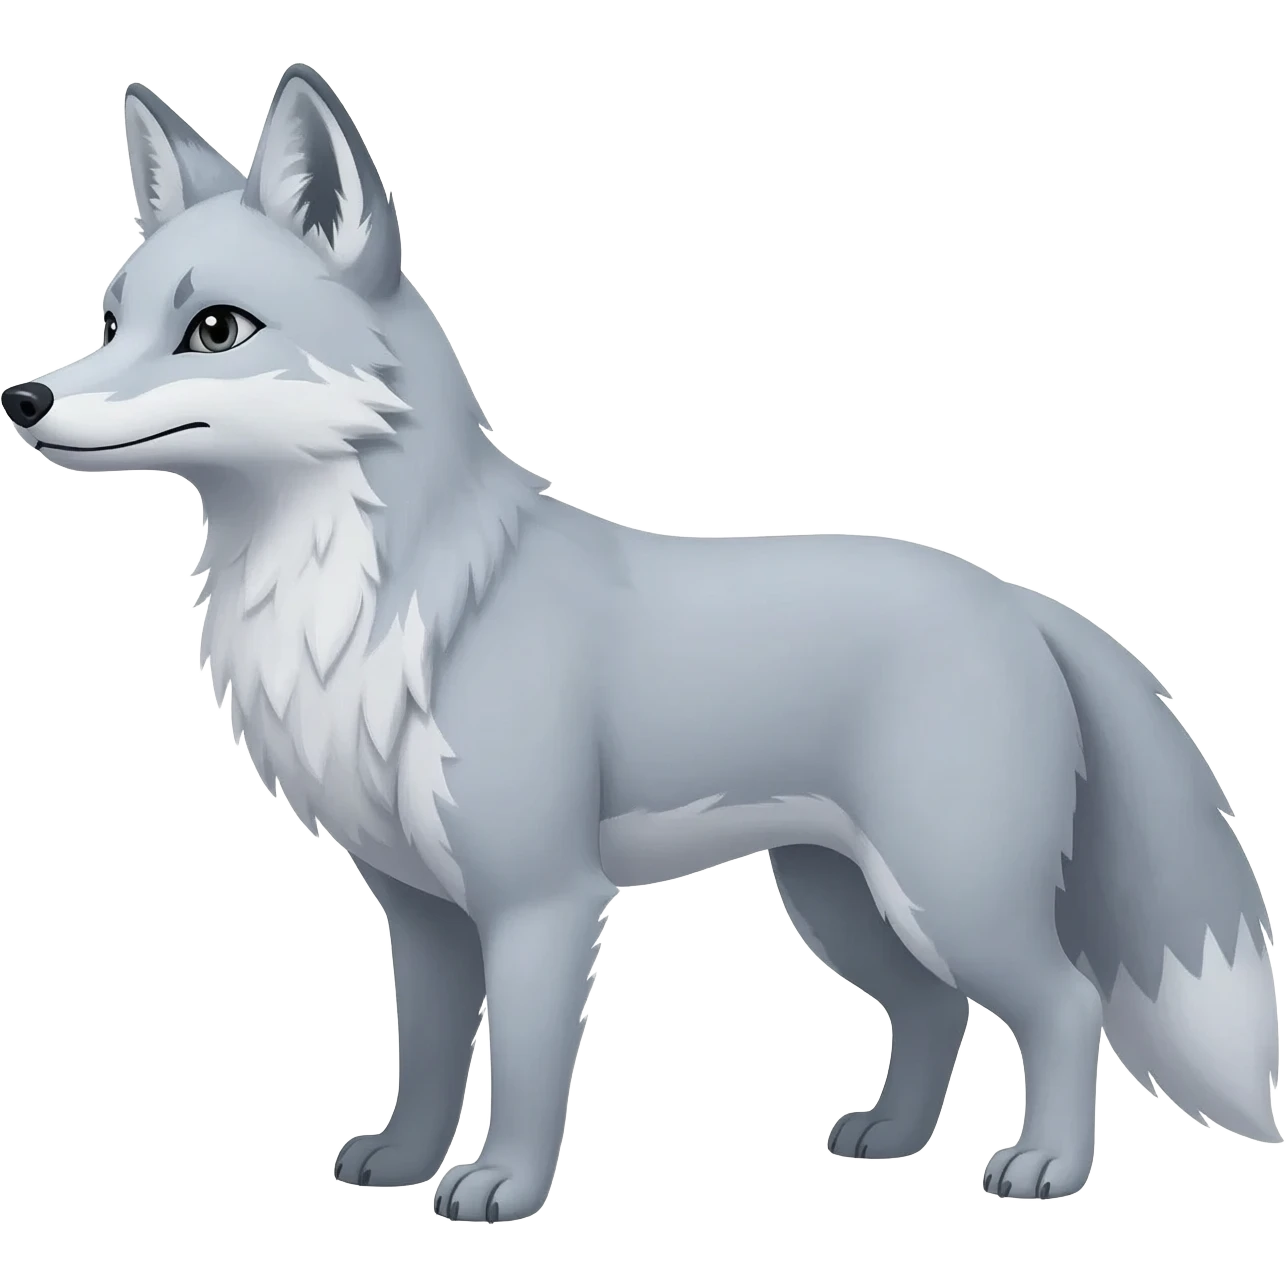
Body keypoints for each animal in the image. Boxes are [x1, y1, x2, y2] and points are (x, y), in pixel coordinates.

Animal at [4, 61, 1280, 1221]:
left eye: (214, 328)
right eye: (110, 320)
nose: (24, 398)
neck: (384, 607)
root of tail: (1021, 598)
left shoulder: (541, 898)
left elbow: (523, 1066)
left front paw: (504, 1187)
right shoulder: (418, 908)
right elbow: (426, 1054)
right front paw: (401, 1161)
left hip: (948, 893)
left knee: (1064, 1003)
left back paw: (1043, 1166)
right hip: (841, 901)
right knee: (933, 1009)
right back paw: (889, 1137)